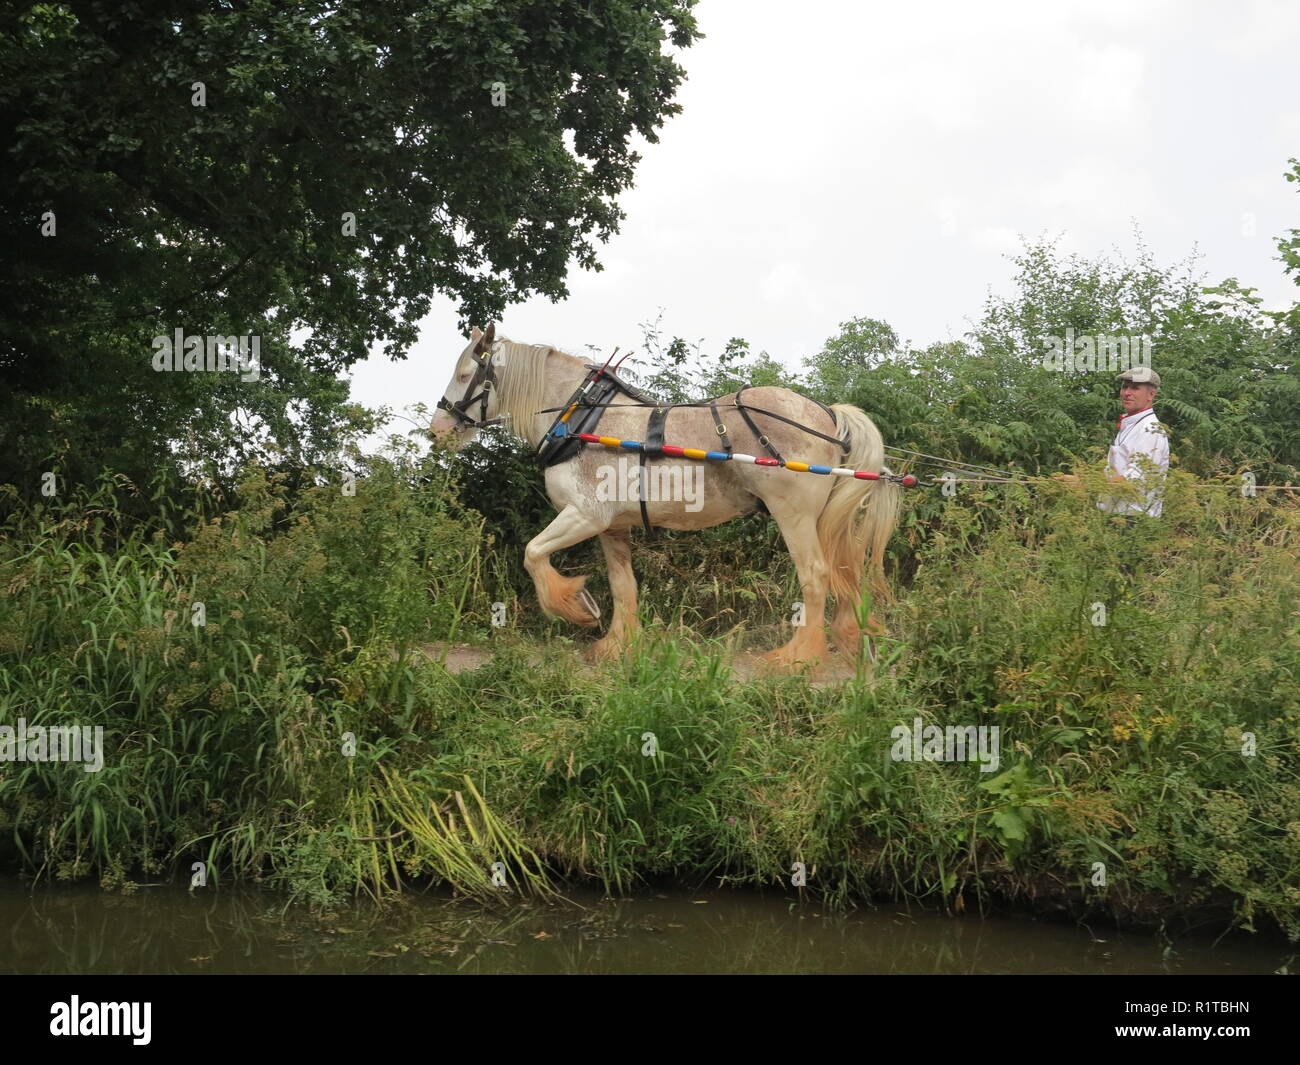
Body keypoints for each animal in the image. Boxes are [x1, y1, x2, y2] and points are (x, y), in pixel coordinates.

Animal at [429, 323, 901, 672]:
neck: (581, 422)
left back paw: (798, 656)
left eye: (467, 375)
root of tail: (827, 414)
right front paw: (616, 645)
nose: (437, 431)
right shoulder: (612, 527)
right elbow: (623, 587)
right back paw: (851, 638)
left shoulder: (585, 515)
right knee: (843, 570)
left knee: (816, 575)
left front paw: (576, 607)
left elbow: (533, 554)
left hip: (794, 515)